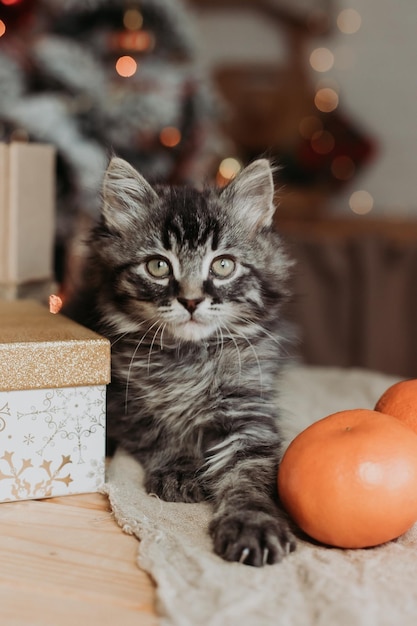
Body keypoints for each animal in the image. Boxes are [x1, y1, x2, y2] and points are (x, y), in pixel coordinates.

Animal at [64, 156, 296, 564]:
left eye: (223, 265)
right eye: (158, 266)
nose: (190, 300)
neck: (190, 356)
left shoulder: (249, 409)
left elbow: (249, 473)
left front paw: (252, 523)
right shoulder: (126, 402)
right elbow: (165, 432)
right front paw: (180, 470)